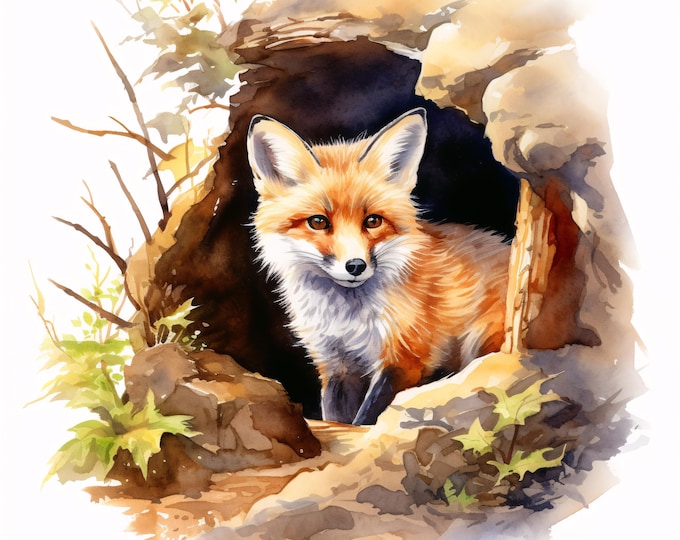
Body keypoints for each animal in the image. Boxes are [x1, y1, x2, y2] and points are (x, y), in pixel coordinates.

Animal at [246, 108, 511, 425]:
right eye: (318, 222)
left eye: (373, 221)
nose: (355, 266)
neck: (346, 319)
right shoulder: (337, 364)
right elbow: (338, 419)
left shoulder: (404, 358)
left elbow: (367, 418)